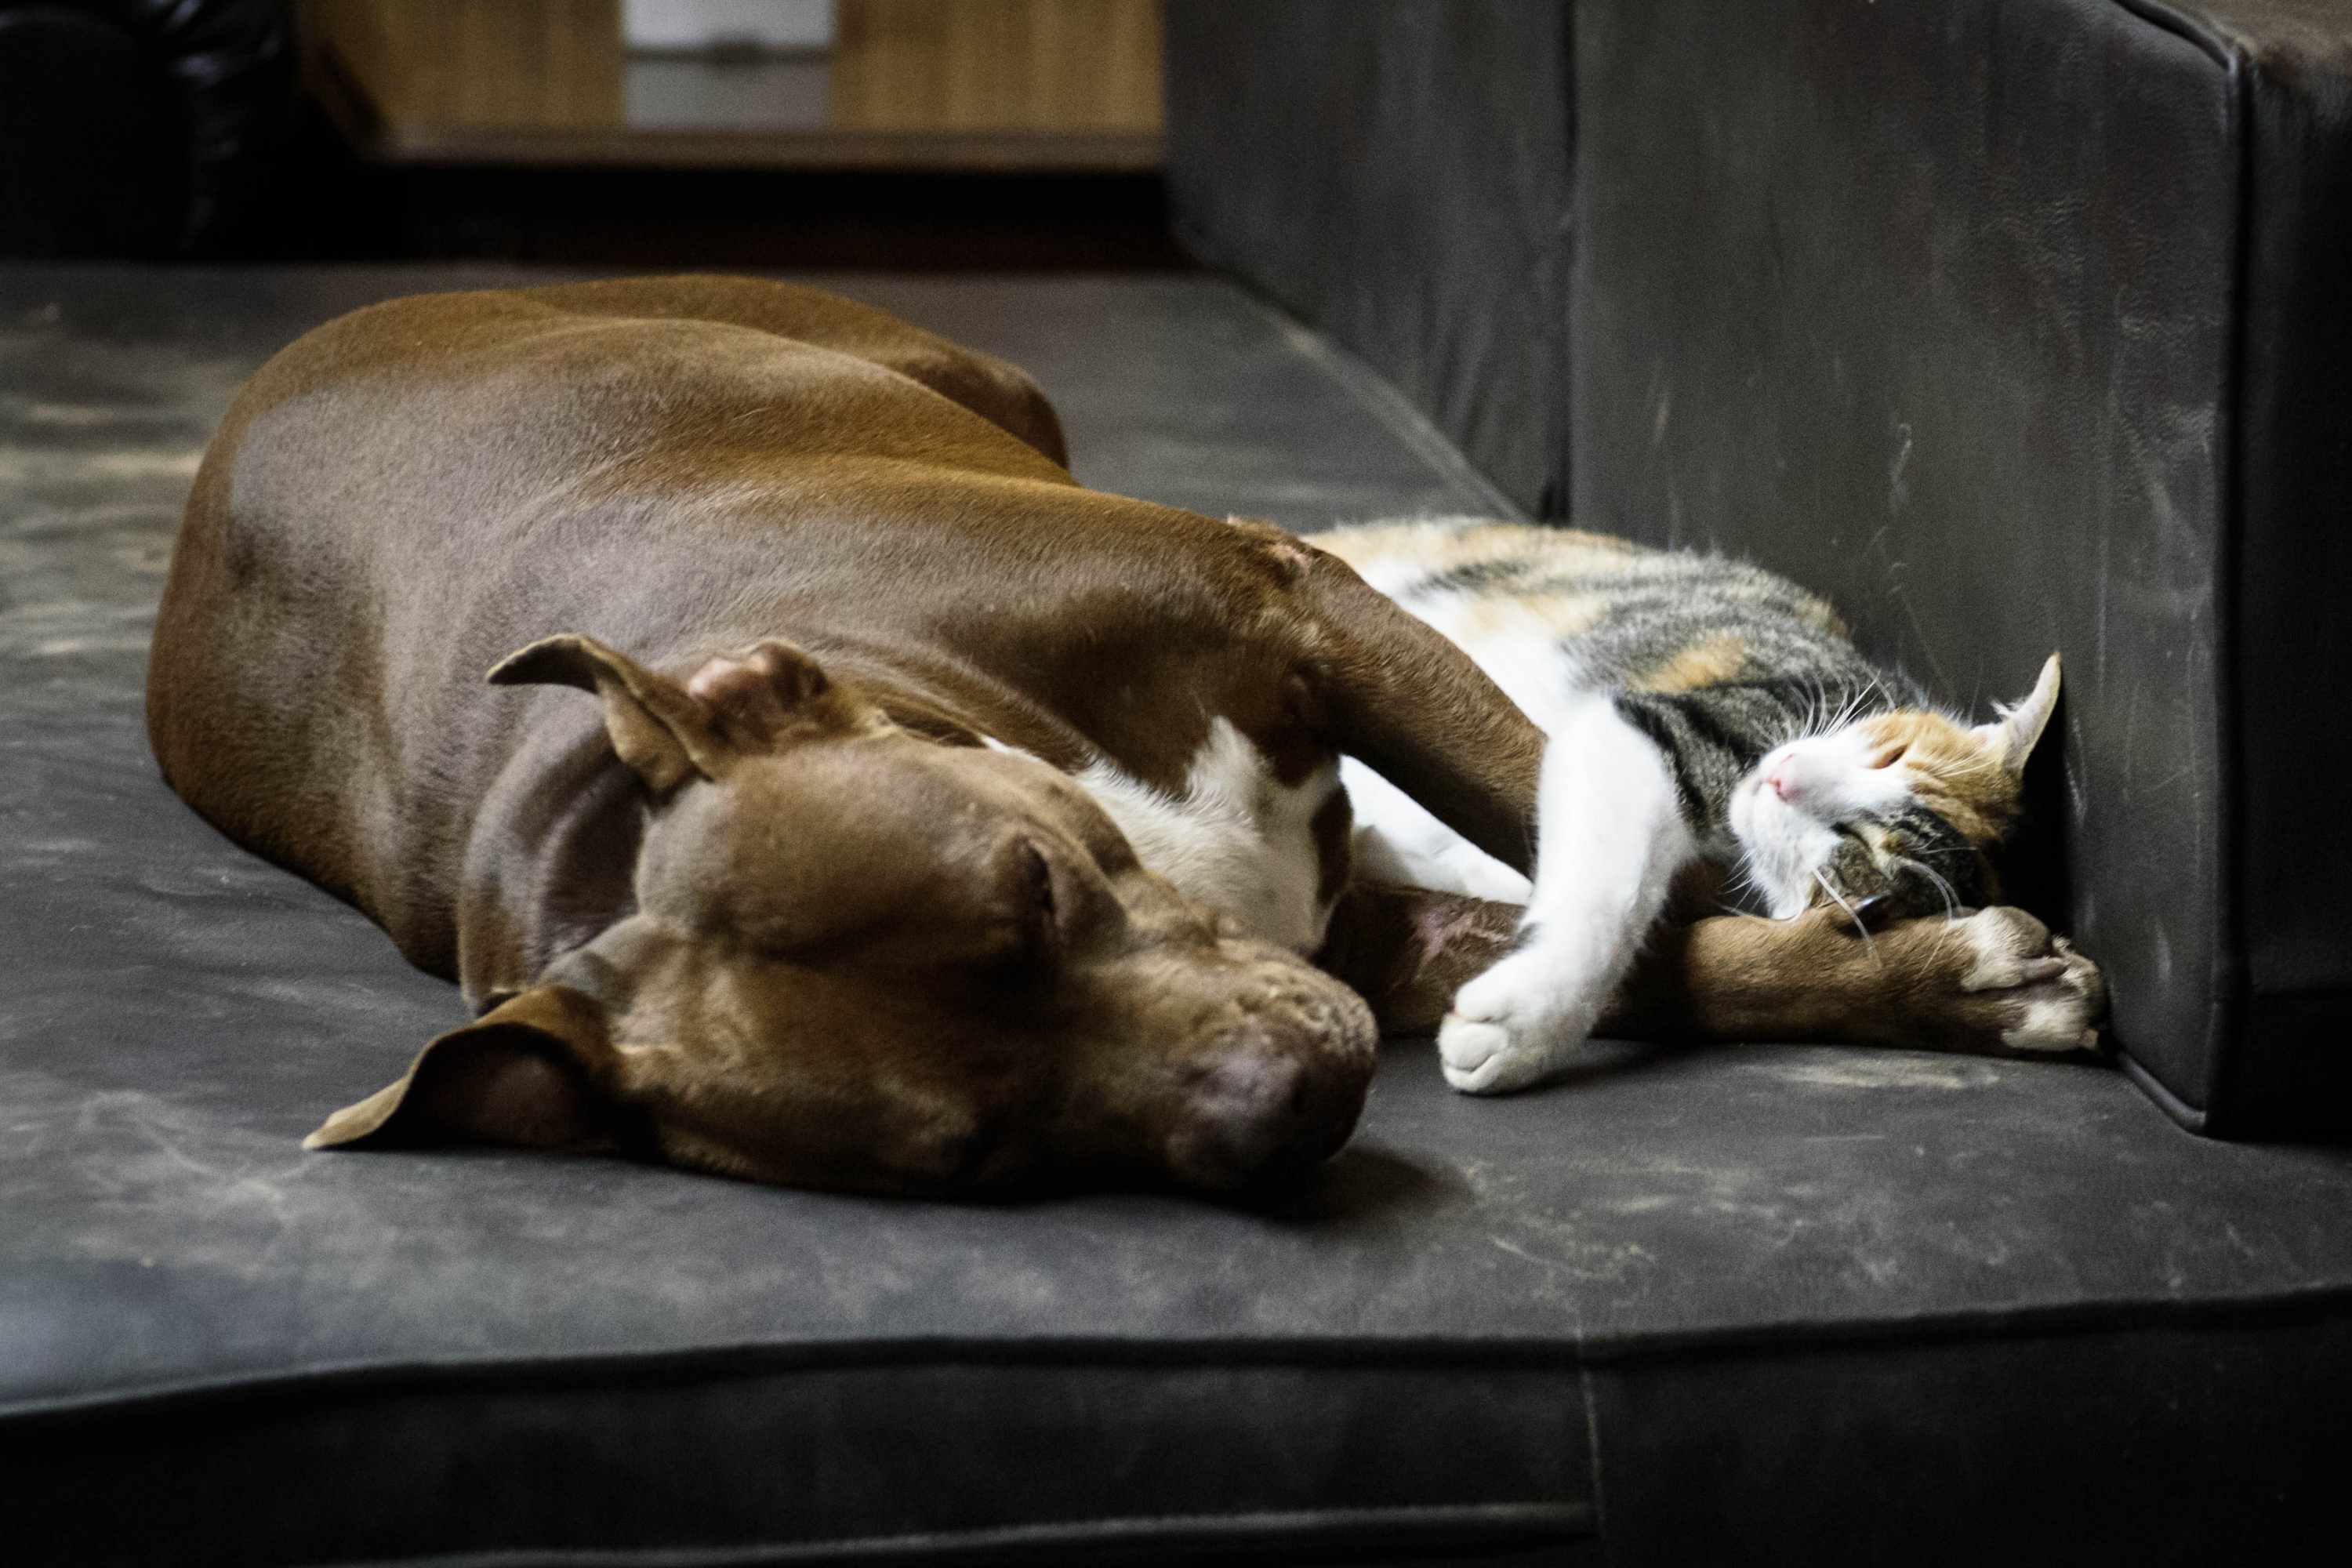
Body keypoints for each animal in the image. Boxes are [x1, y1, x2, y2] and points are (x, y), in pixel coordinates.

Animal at [1317, 521, 2070, 1100]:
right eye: (1890, 753)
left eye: (1853, 849)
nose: (1783, 779)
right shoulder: (1682, 723)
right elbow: (1611, 886)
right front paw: (1532, 1010)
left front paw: (1522, 1018)